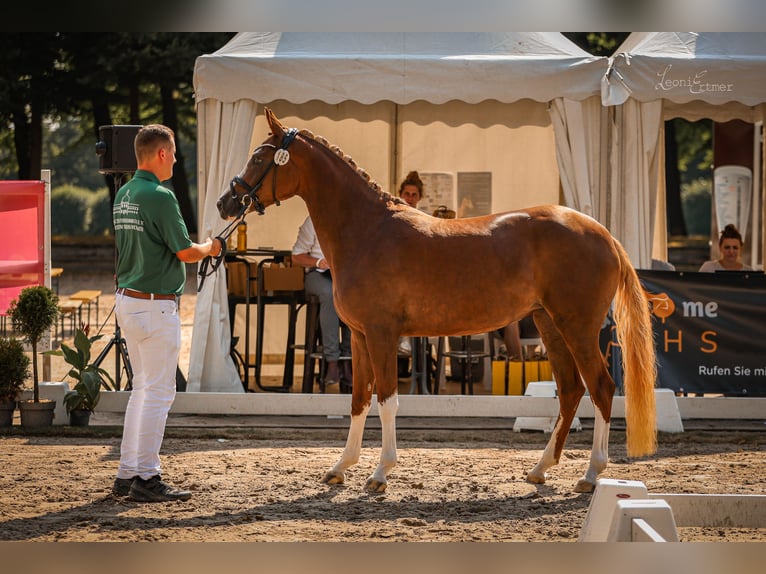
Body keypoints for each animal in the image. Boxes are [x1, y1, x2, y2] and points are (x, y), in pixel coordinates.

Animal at [218, 108, 660, 496]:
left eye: (259, 156)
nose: (226, 202)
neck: (367, 230)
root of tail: (602, 232)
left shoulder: (382, 334)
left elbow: (387, 400)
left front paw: (380, 473)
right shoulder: (358, 337)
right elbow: (359, 399)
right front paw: (341, 467)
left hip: (577, 327)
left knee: (601, 387)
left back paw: (591, 474)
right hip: (550, 325)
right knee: (570, 390)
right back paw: (539, 469)